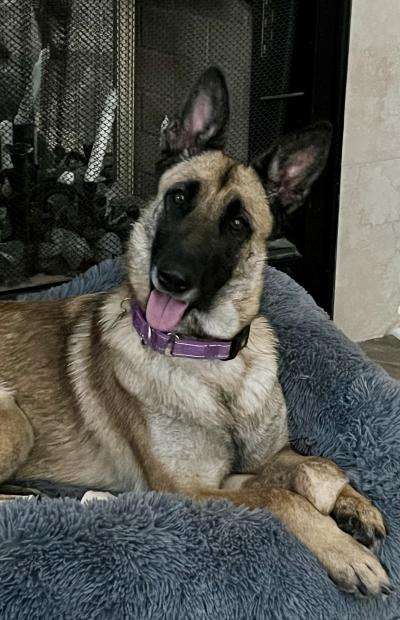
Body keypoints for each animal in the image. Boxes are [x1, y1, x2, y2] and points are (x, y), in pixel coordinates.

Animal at [0, 68, 390, 596]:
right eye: (179, 197)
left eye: (238, 223)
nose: (170, 278)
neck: (207, 359)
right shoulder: (190, 489)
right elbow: (281, 498)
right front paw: (345, 551)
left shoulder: (267, 457)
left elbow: (319, 464)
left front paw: (352, 503)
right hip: (15, 420)